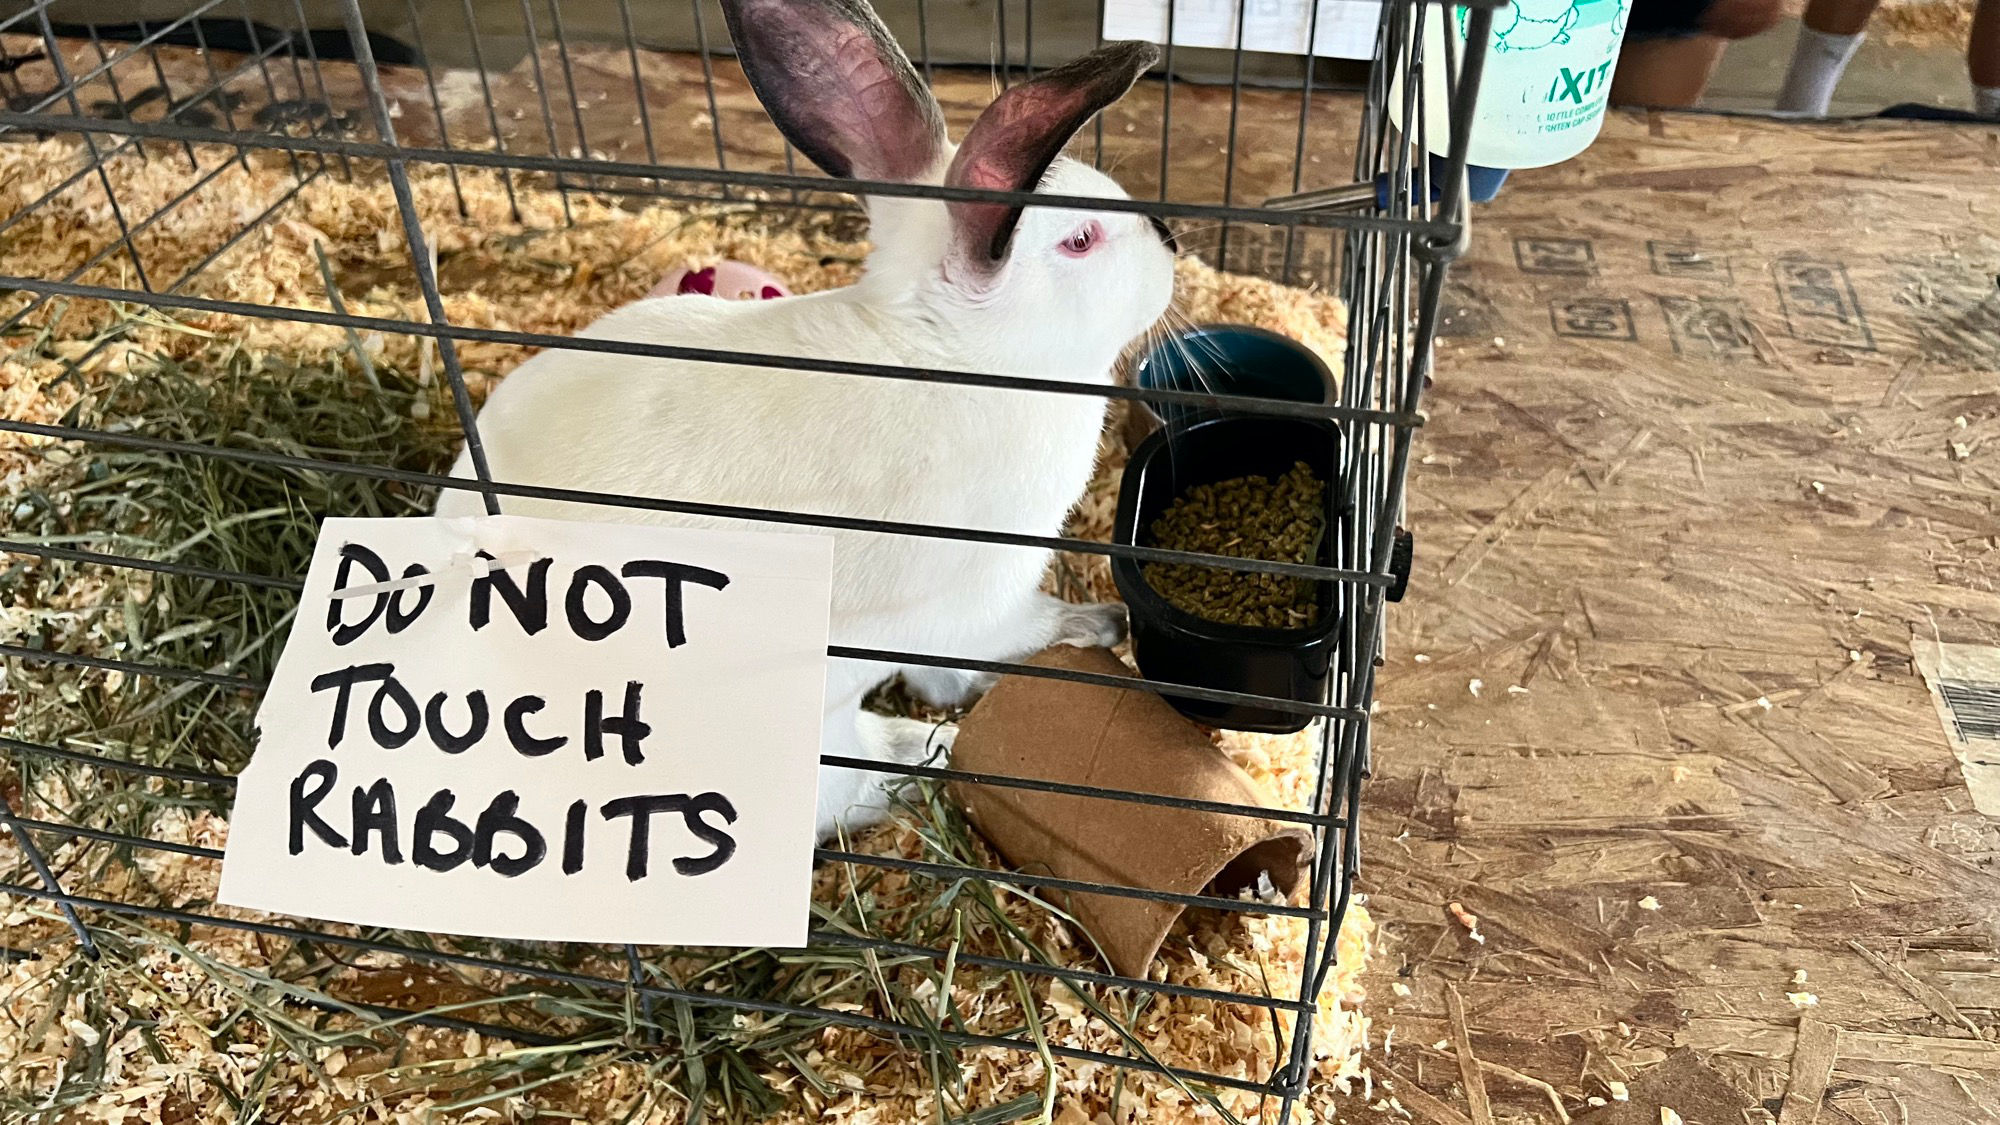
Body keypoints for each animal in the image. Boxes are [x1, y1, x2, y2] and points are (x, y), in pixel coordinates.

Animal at [438, 0, 1176, 840]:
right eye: (1080, 239)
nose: (1171, 243)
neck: (941, 351)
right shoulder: (981, 598)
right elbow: (1002, 639)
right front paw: (1096, 625)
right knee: (839, 789)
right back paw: (918, 756)